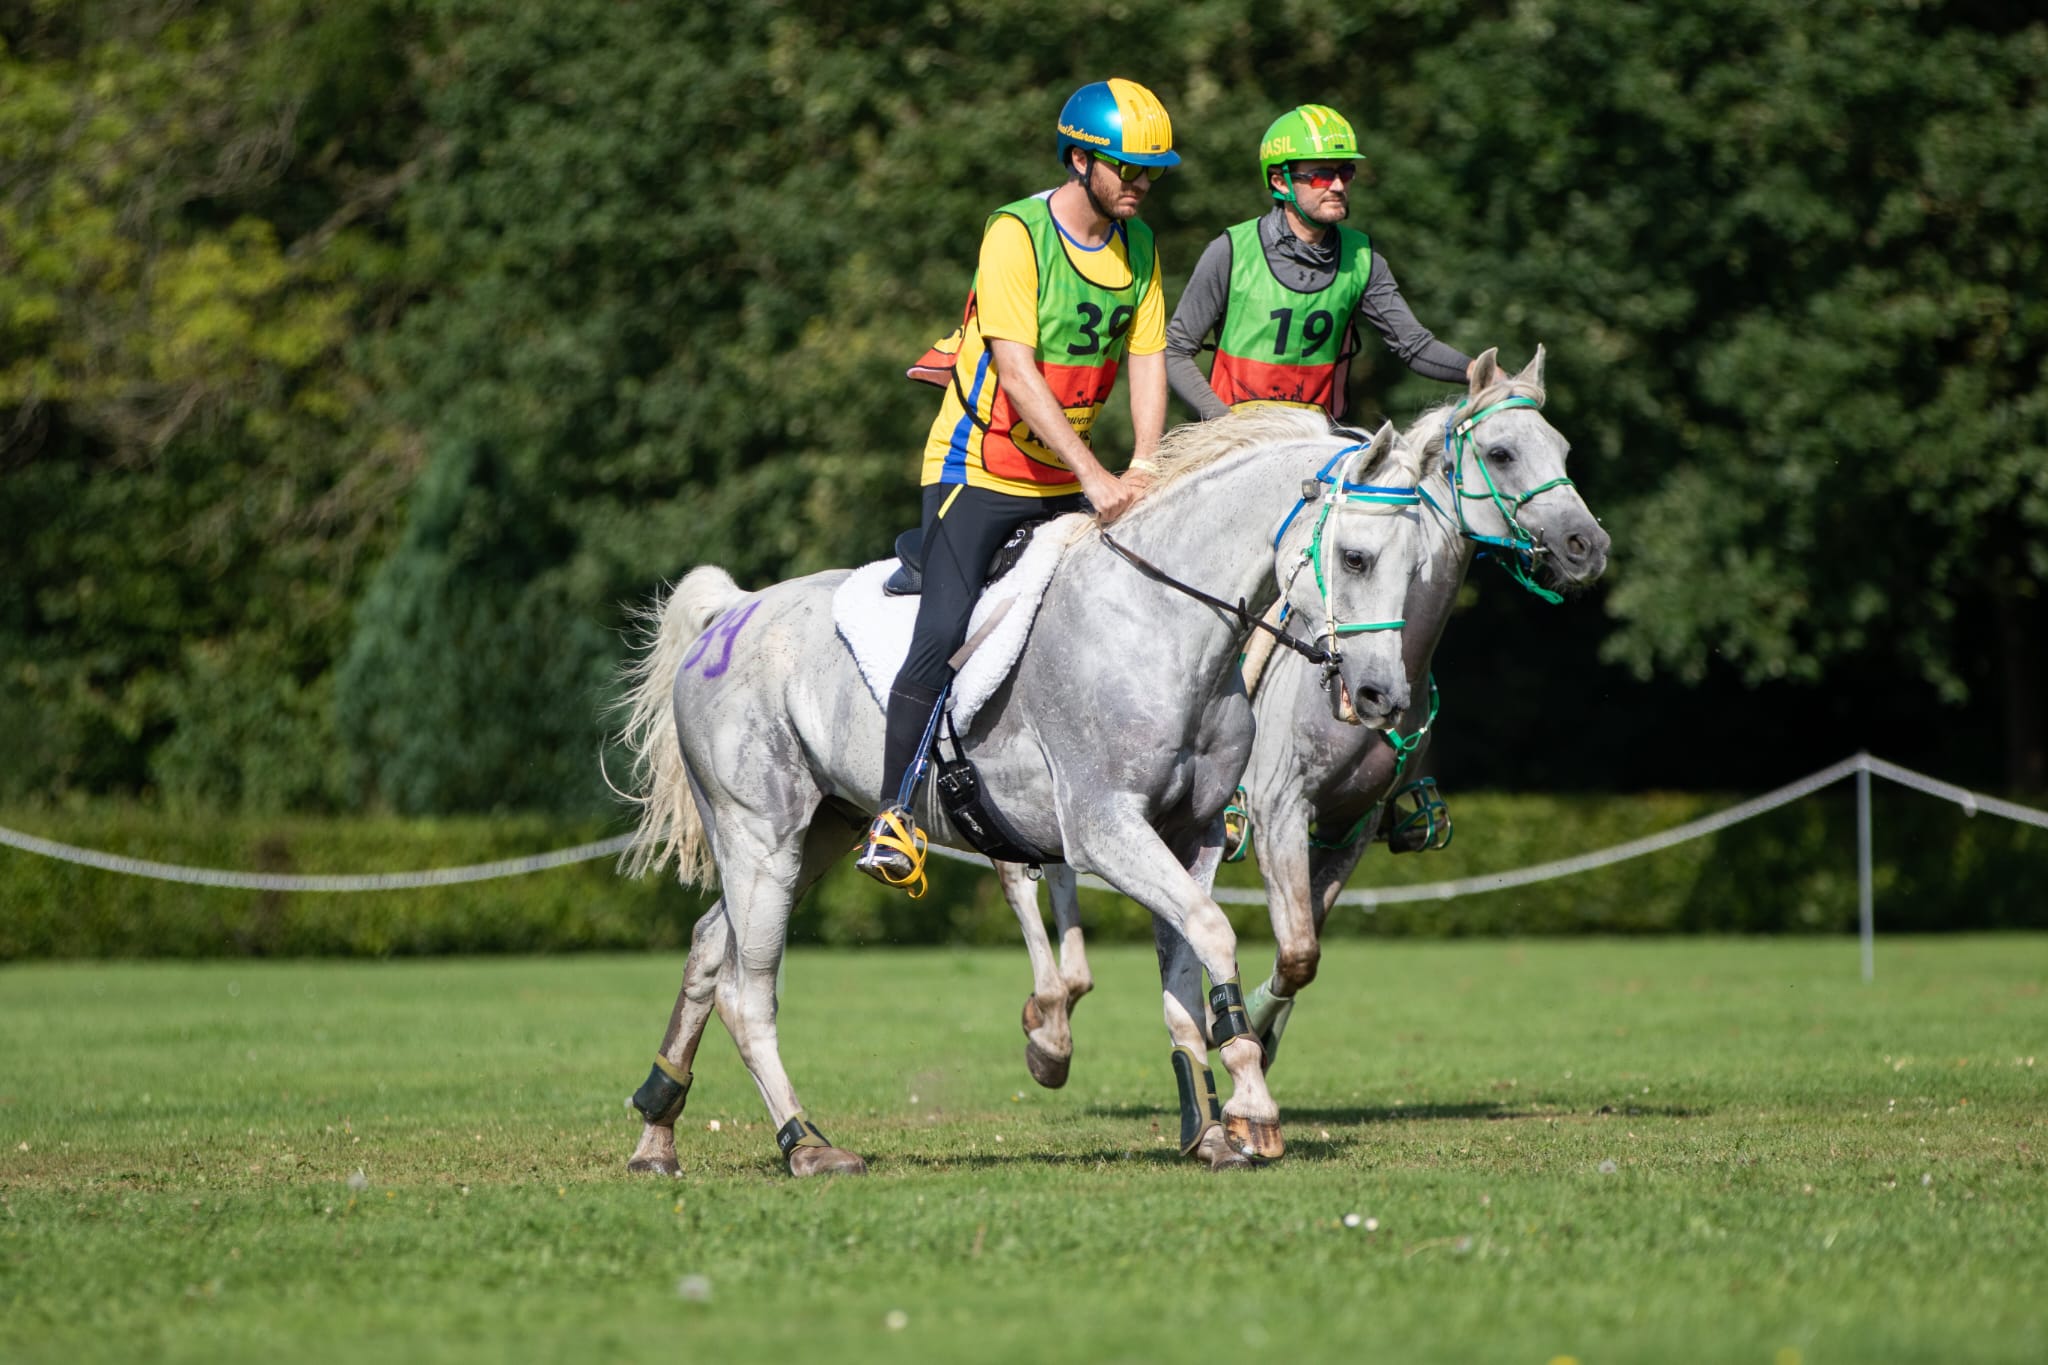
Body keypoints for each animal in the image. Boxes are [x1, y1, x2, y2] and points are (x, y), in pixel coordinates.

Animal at [614, 405, 1433, 1178]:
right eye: (1356, 557)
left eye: (1422, 568)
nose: (1382, 696)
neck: (1161, 625)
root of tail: (731, 612)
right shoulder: (1105, 830)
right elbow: (1212, 933)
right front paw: (1252, 1110)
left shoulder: (1189, 835)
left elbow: (1183, 973)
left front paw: (1207, 1128)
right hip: (762, 836)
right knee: (746, 993)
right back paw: (807, 1144)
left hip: (815, 834)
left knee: (707, 947)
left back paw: (658, 1132)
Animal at [995, 347, 1613, 1170]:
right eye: (1504, 452)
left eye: (1565, 450)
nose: (1588, 546)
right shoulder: (1279, 811)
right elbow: (1291, 948)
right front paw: (1241, 1043)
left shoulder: (1350, 825)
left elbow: (1304, 954)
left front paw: (1252, 1043)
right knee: (1023, 874)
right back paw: (1051, 1025)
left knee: (1058, 868)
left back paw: (1062, 1004)